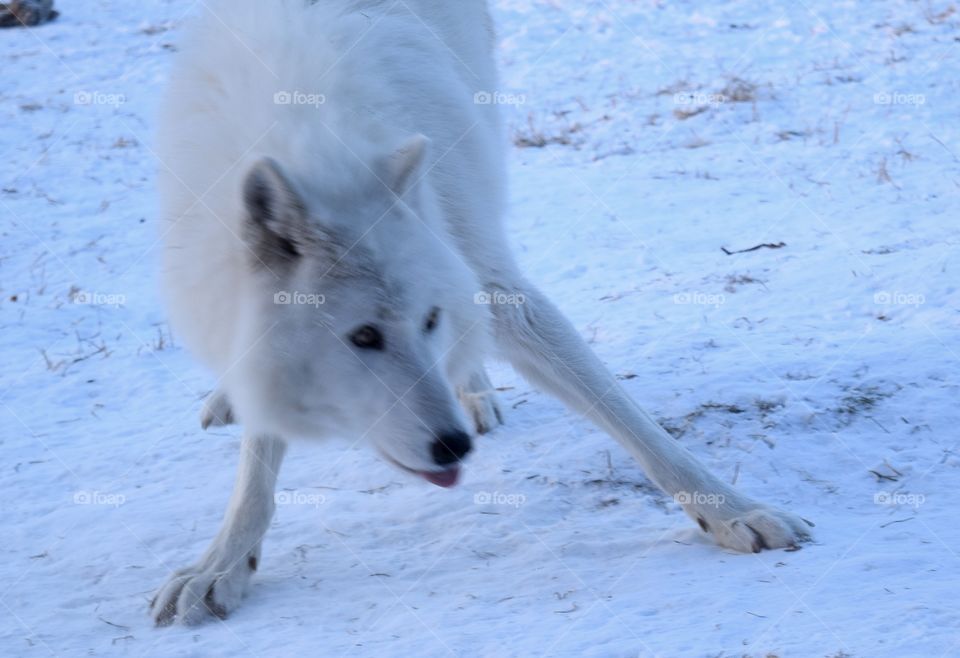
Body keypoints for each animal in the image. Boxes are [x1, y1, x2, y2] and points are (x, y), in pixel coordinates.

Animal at [151, 0, 811, 625]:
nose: (454, 447)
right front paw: (220, 566)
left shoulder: (493, 284)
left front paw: (735, 512)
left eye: (428, 321)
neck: (315, 142)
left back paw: (475, 394)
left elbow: (635, 424)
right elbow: (255, 471)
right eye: (362, 337)